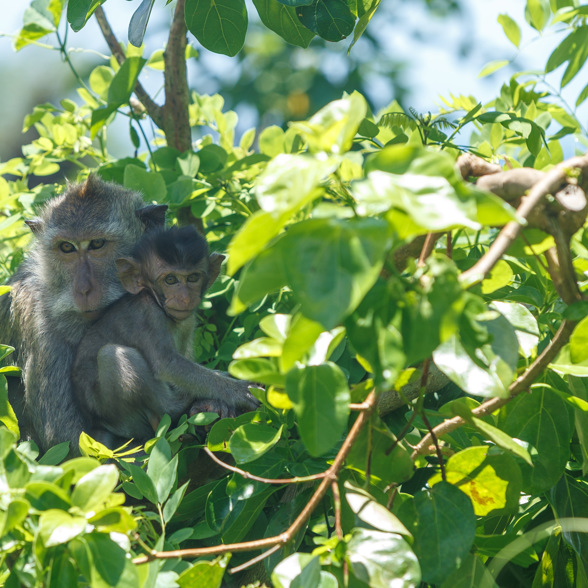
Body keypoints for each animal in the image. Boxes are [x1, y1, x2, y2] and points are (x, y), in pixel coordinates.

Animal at [72, 224, 258, 446]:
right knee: (111, 355)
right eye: (170, 280)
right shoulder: (148, 315)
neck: (153, 298)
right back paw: (176, 407)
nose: (185, 298)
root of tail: (96, 426)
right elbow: (167, 364)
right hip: (115, 414)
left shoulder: (188, 320)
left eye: (193, 278)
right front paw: (238, 391)